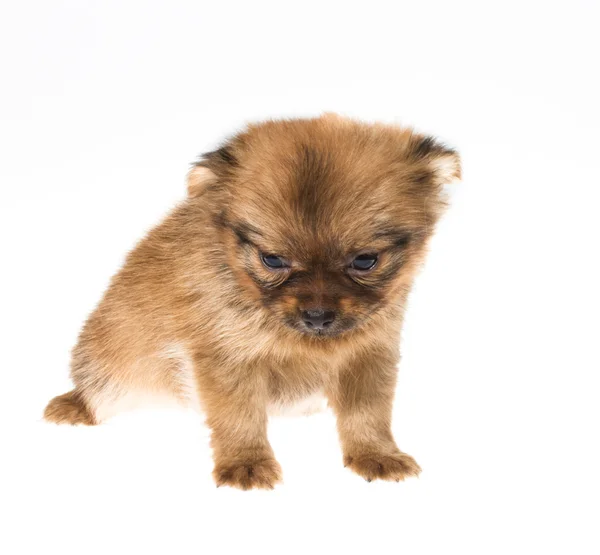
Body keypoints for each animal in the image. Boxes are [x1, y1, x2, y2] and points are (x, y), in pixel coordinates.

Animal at [45, 114, 460, 490]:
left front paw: (376, 454)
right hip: (109, 379)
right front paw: (245, 464)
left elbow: (368, 413)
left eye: (365, 261)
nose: (317, 316)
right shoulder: (226, 358)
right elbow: (238, 416)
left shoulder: (370, 354)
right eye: (272, 260)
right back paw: (74, 407)